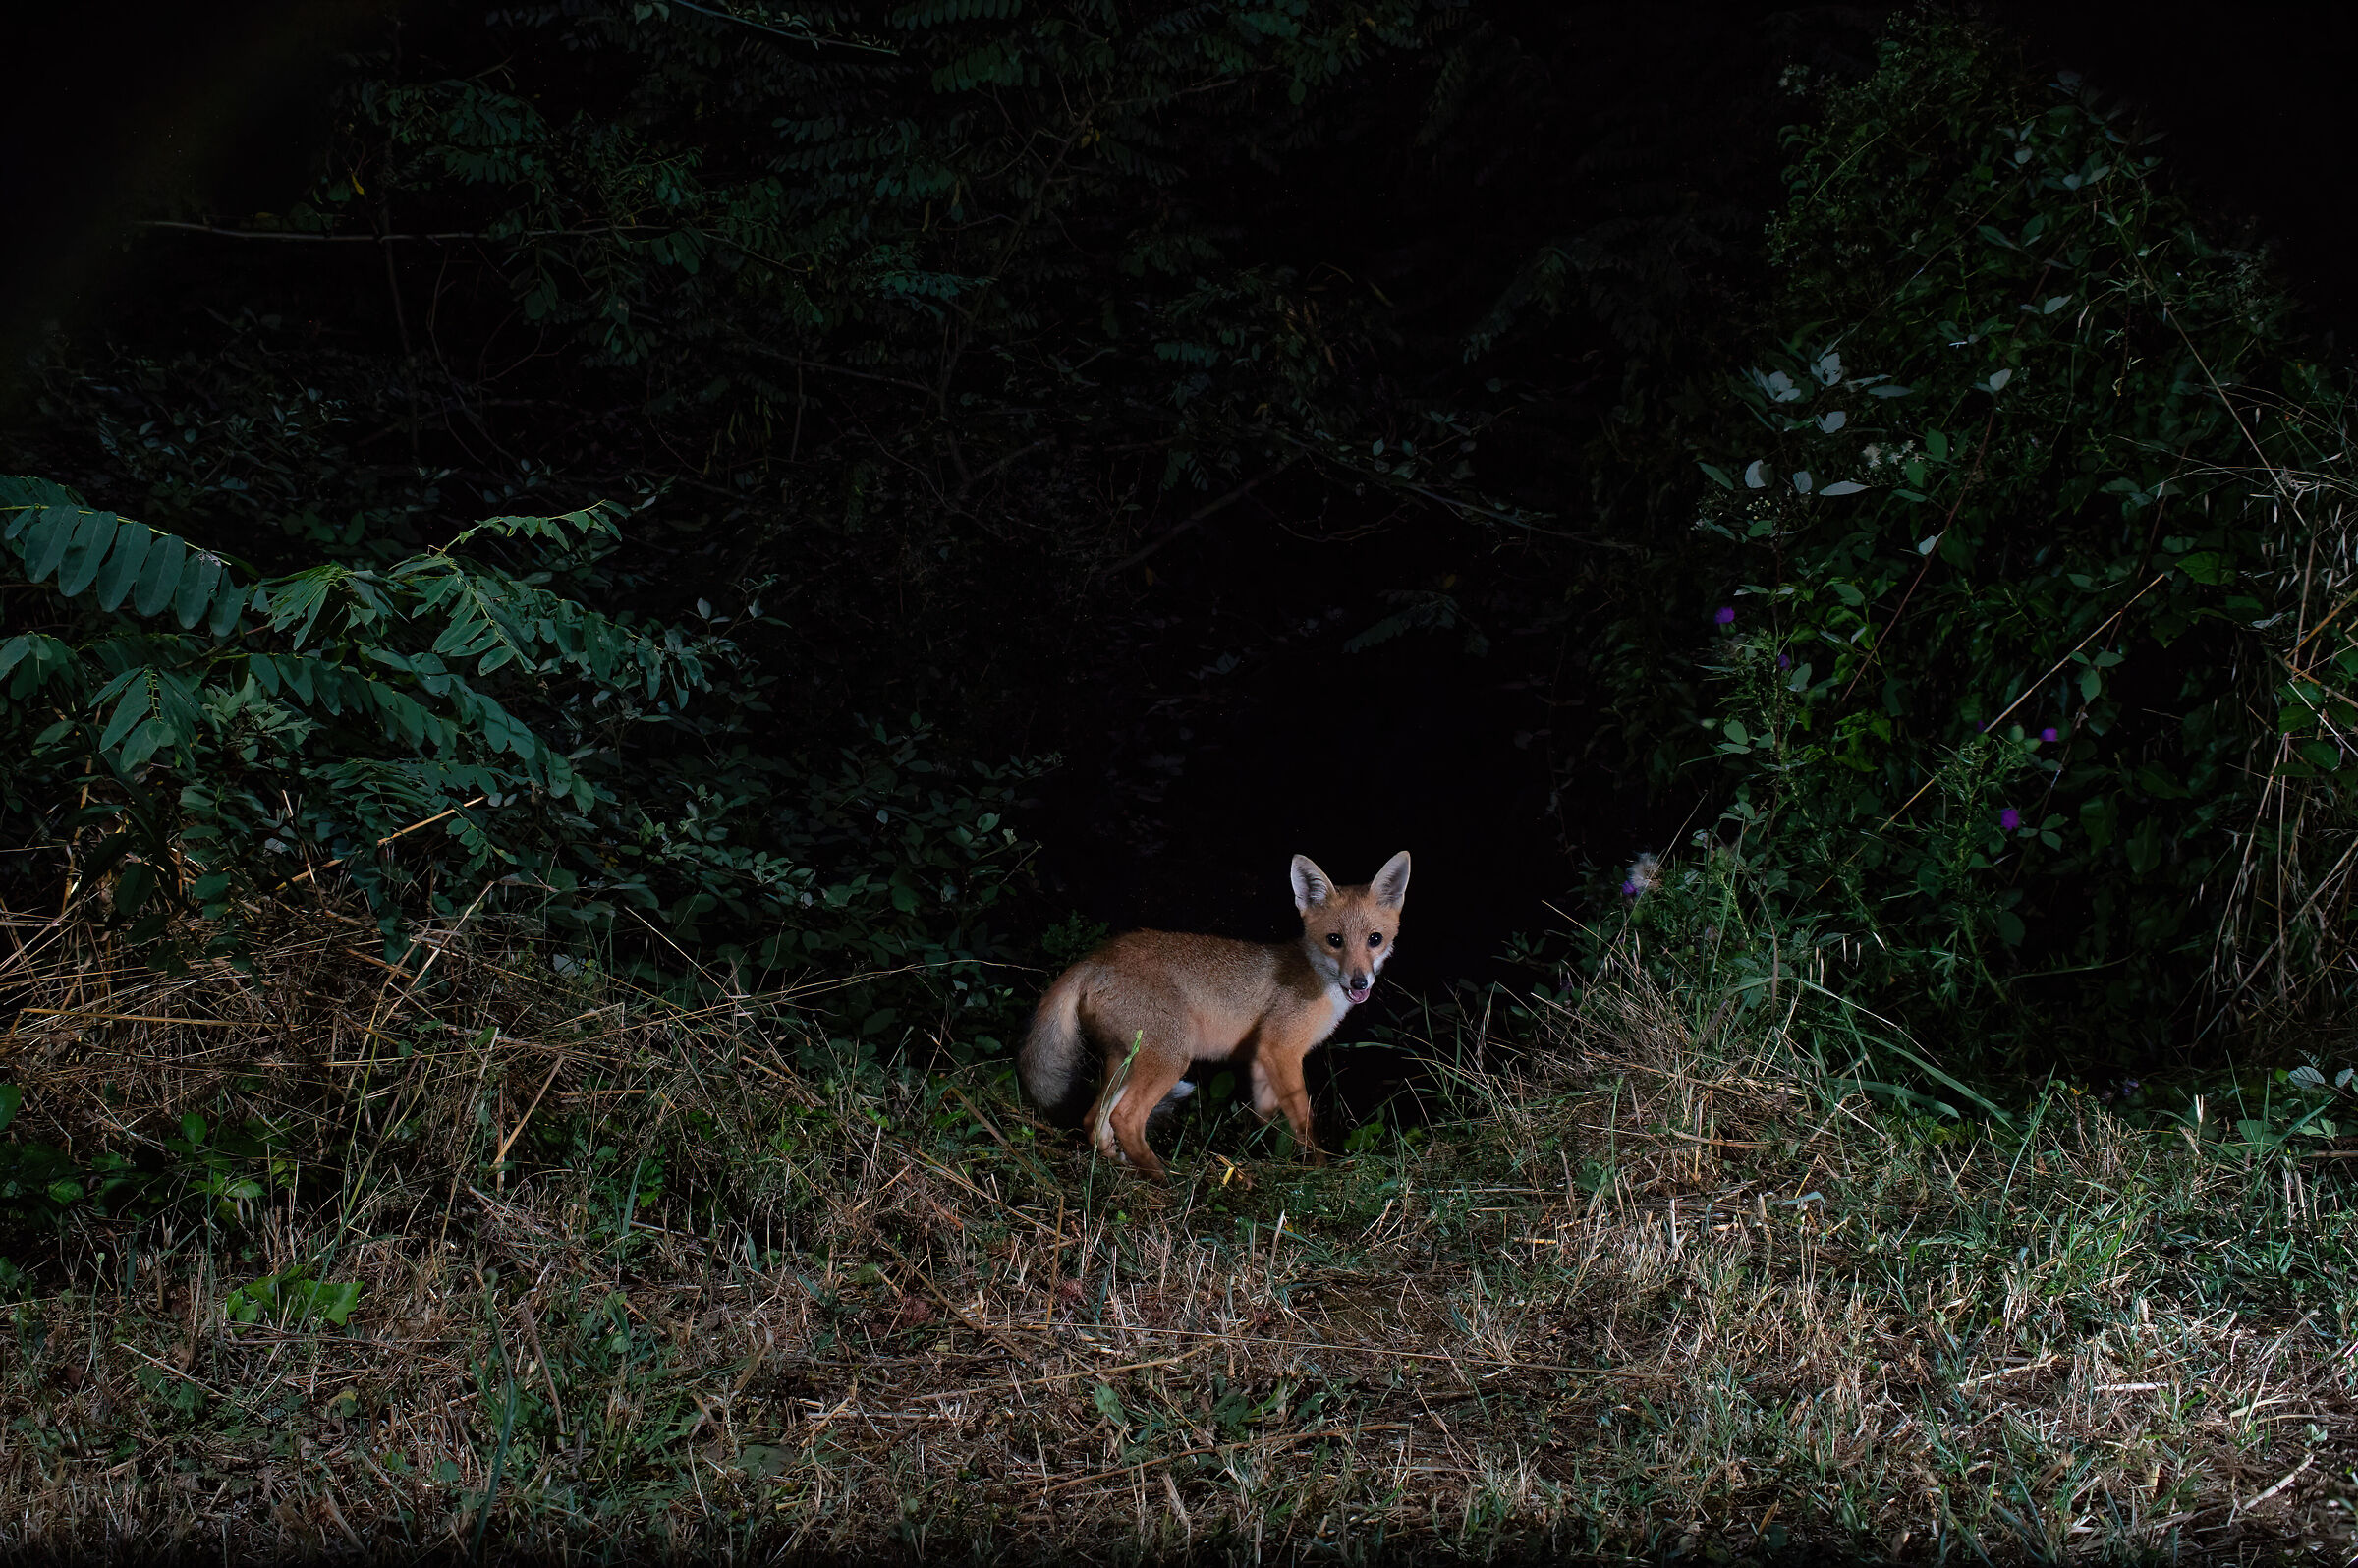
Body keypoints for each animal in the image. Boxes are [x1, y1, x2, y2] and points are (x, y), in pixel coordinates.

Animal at [1019, 851, 1411, 1180]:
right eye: (1335, 940)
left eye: (1375, 939)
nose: (1359, 982)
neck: (1316, 977)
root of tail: (1096, 958)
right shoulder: (1280, 1049)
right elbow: (1304, 1119)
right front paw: (1317, 1167)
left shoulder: (1261, 1060)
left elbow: (1265, 1116)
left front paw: (1263, 1156)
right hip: (1171, 1059)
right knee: (1123, 1117)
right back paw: (1162, 1175)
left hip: (1124, 1060)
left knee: (1094, 1119)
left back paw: (1121, 1165)